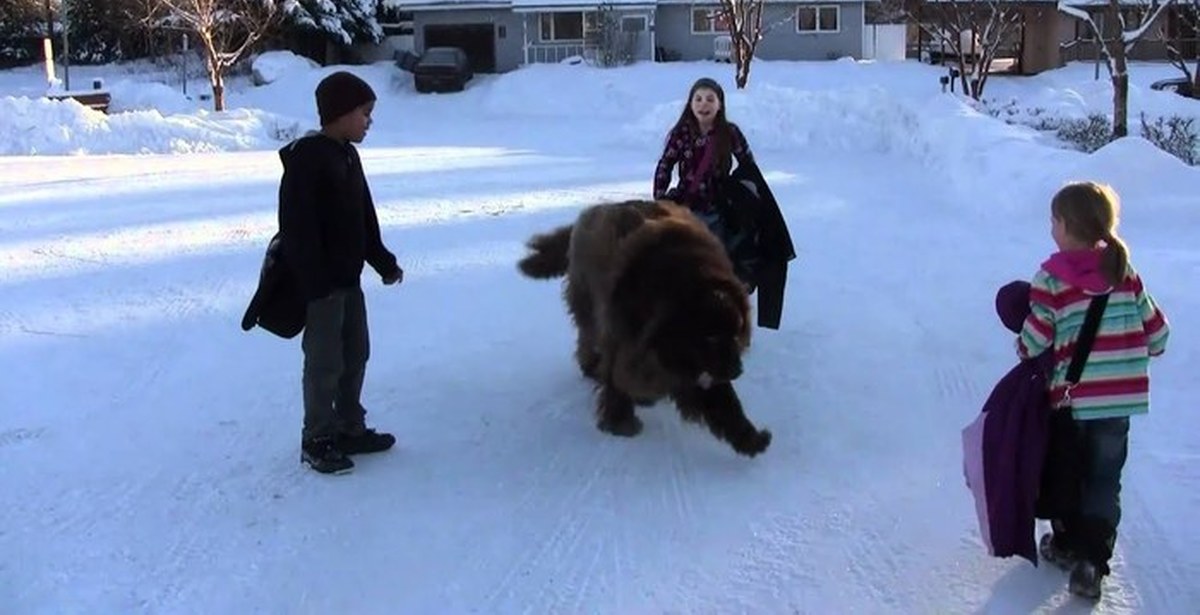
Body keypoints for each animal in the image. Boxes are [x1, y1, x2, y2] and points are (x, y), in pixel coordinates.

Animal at [513, 198, 768, 456]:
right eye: (711, 337)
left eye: (736, 335)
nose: (738, 370)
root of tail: (590, 211)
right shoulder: (624, 336)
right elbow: (617, 378)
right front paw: (619, 422)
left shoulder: (696, 361)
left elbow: (723, 400)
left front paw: (749, 437)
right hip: (589, 302)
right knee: (588, 337)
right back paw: (591, 367)